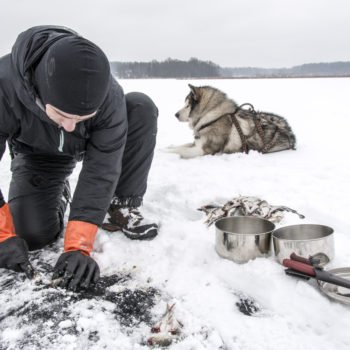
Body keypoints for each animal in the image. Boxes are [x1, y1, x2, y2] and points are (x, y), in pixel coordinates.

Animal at [167, 85, 296, 159]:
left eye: (187, 105)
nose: (175, 114)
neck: (212, 117)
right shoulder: (197, 143)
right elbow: (182, 145)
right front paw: (168, 147)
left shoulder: (203, 150)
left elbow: (181, 150)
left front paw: (168, 153)